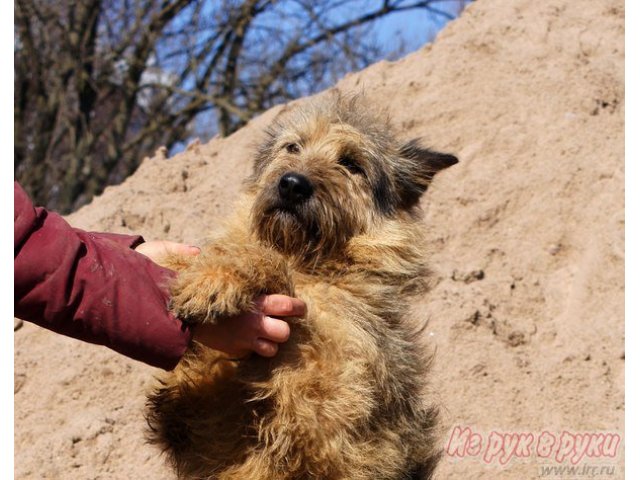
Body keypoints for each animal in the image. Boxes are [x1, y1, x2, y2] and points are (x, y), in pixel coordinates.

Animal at [146, 92, 456, 478]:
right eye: (292, 146)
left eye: (351, 163)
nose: (292, 184)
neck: (309, 263)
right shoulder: (193, 409)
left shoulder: (325, 408)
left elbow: (269, 262)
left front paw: (216, 279)